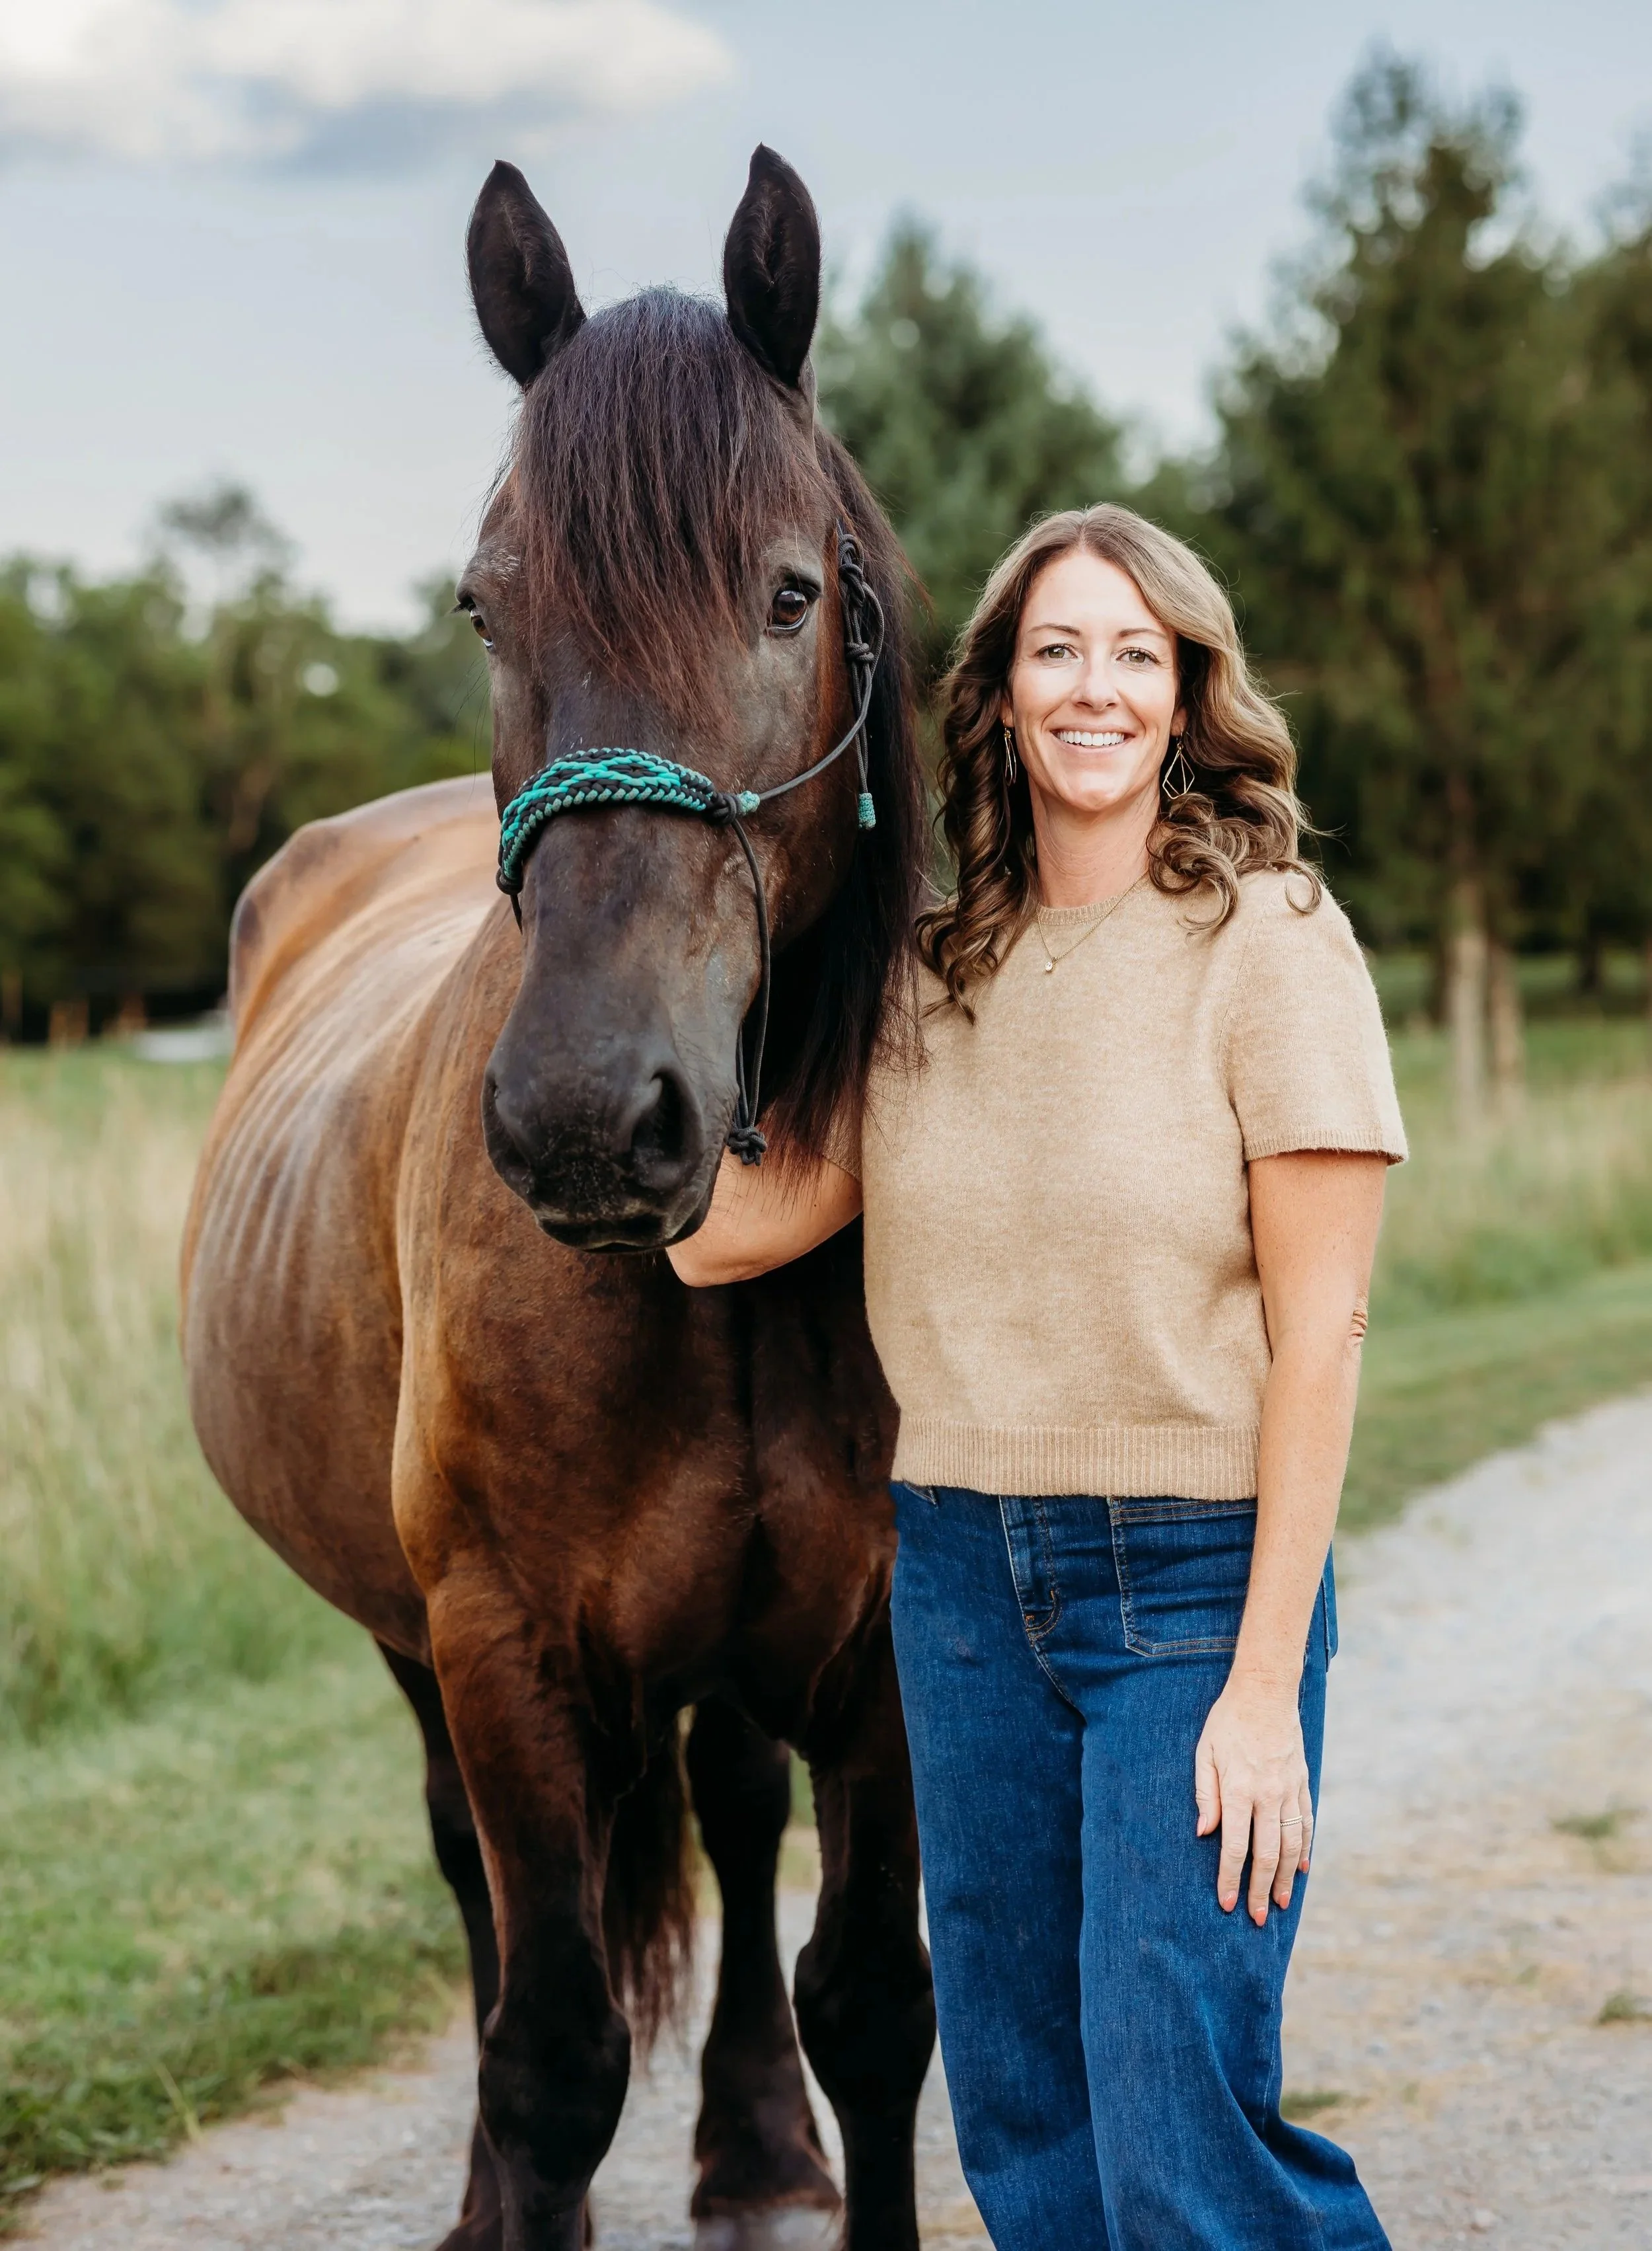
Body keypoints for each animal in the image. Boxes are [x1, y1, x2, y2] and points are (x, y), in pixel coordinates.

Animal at [179, 147, 937, 2251]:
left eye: (787, 590)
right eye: (483, 602)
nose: (595, 1118)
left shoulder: (880, 1653)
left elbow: (875, 2001)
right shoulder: (503, 1651)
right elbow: (550, 2050)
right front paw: (518, 2183)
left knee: (733, 1823)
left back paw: (752, 2145)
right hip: (415, 1644)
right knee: (480, 1894)